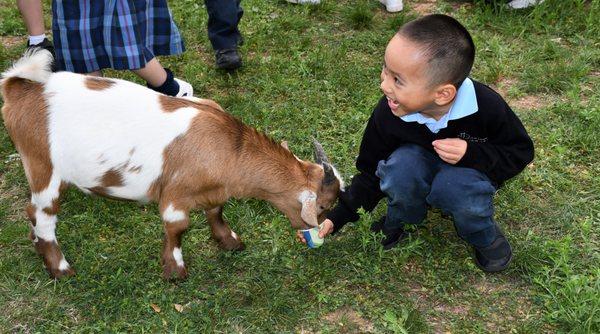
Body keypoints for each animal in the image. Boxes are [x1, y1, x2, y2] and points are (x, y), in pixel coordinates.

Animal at [0, 49, 342, 280]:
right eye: (323, 206)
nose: (322, 230)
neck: (229, 148)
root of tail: (19, 88)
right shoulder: (175, 195)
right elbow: (178, 228)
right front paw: (175, 270)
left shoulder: (213, 191)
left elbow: (216, 210)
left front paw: (229, 241)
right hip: (44, 167)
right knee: (42, 214)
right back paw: (60, 268)